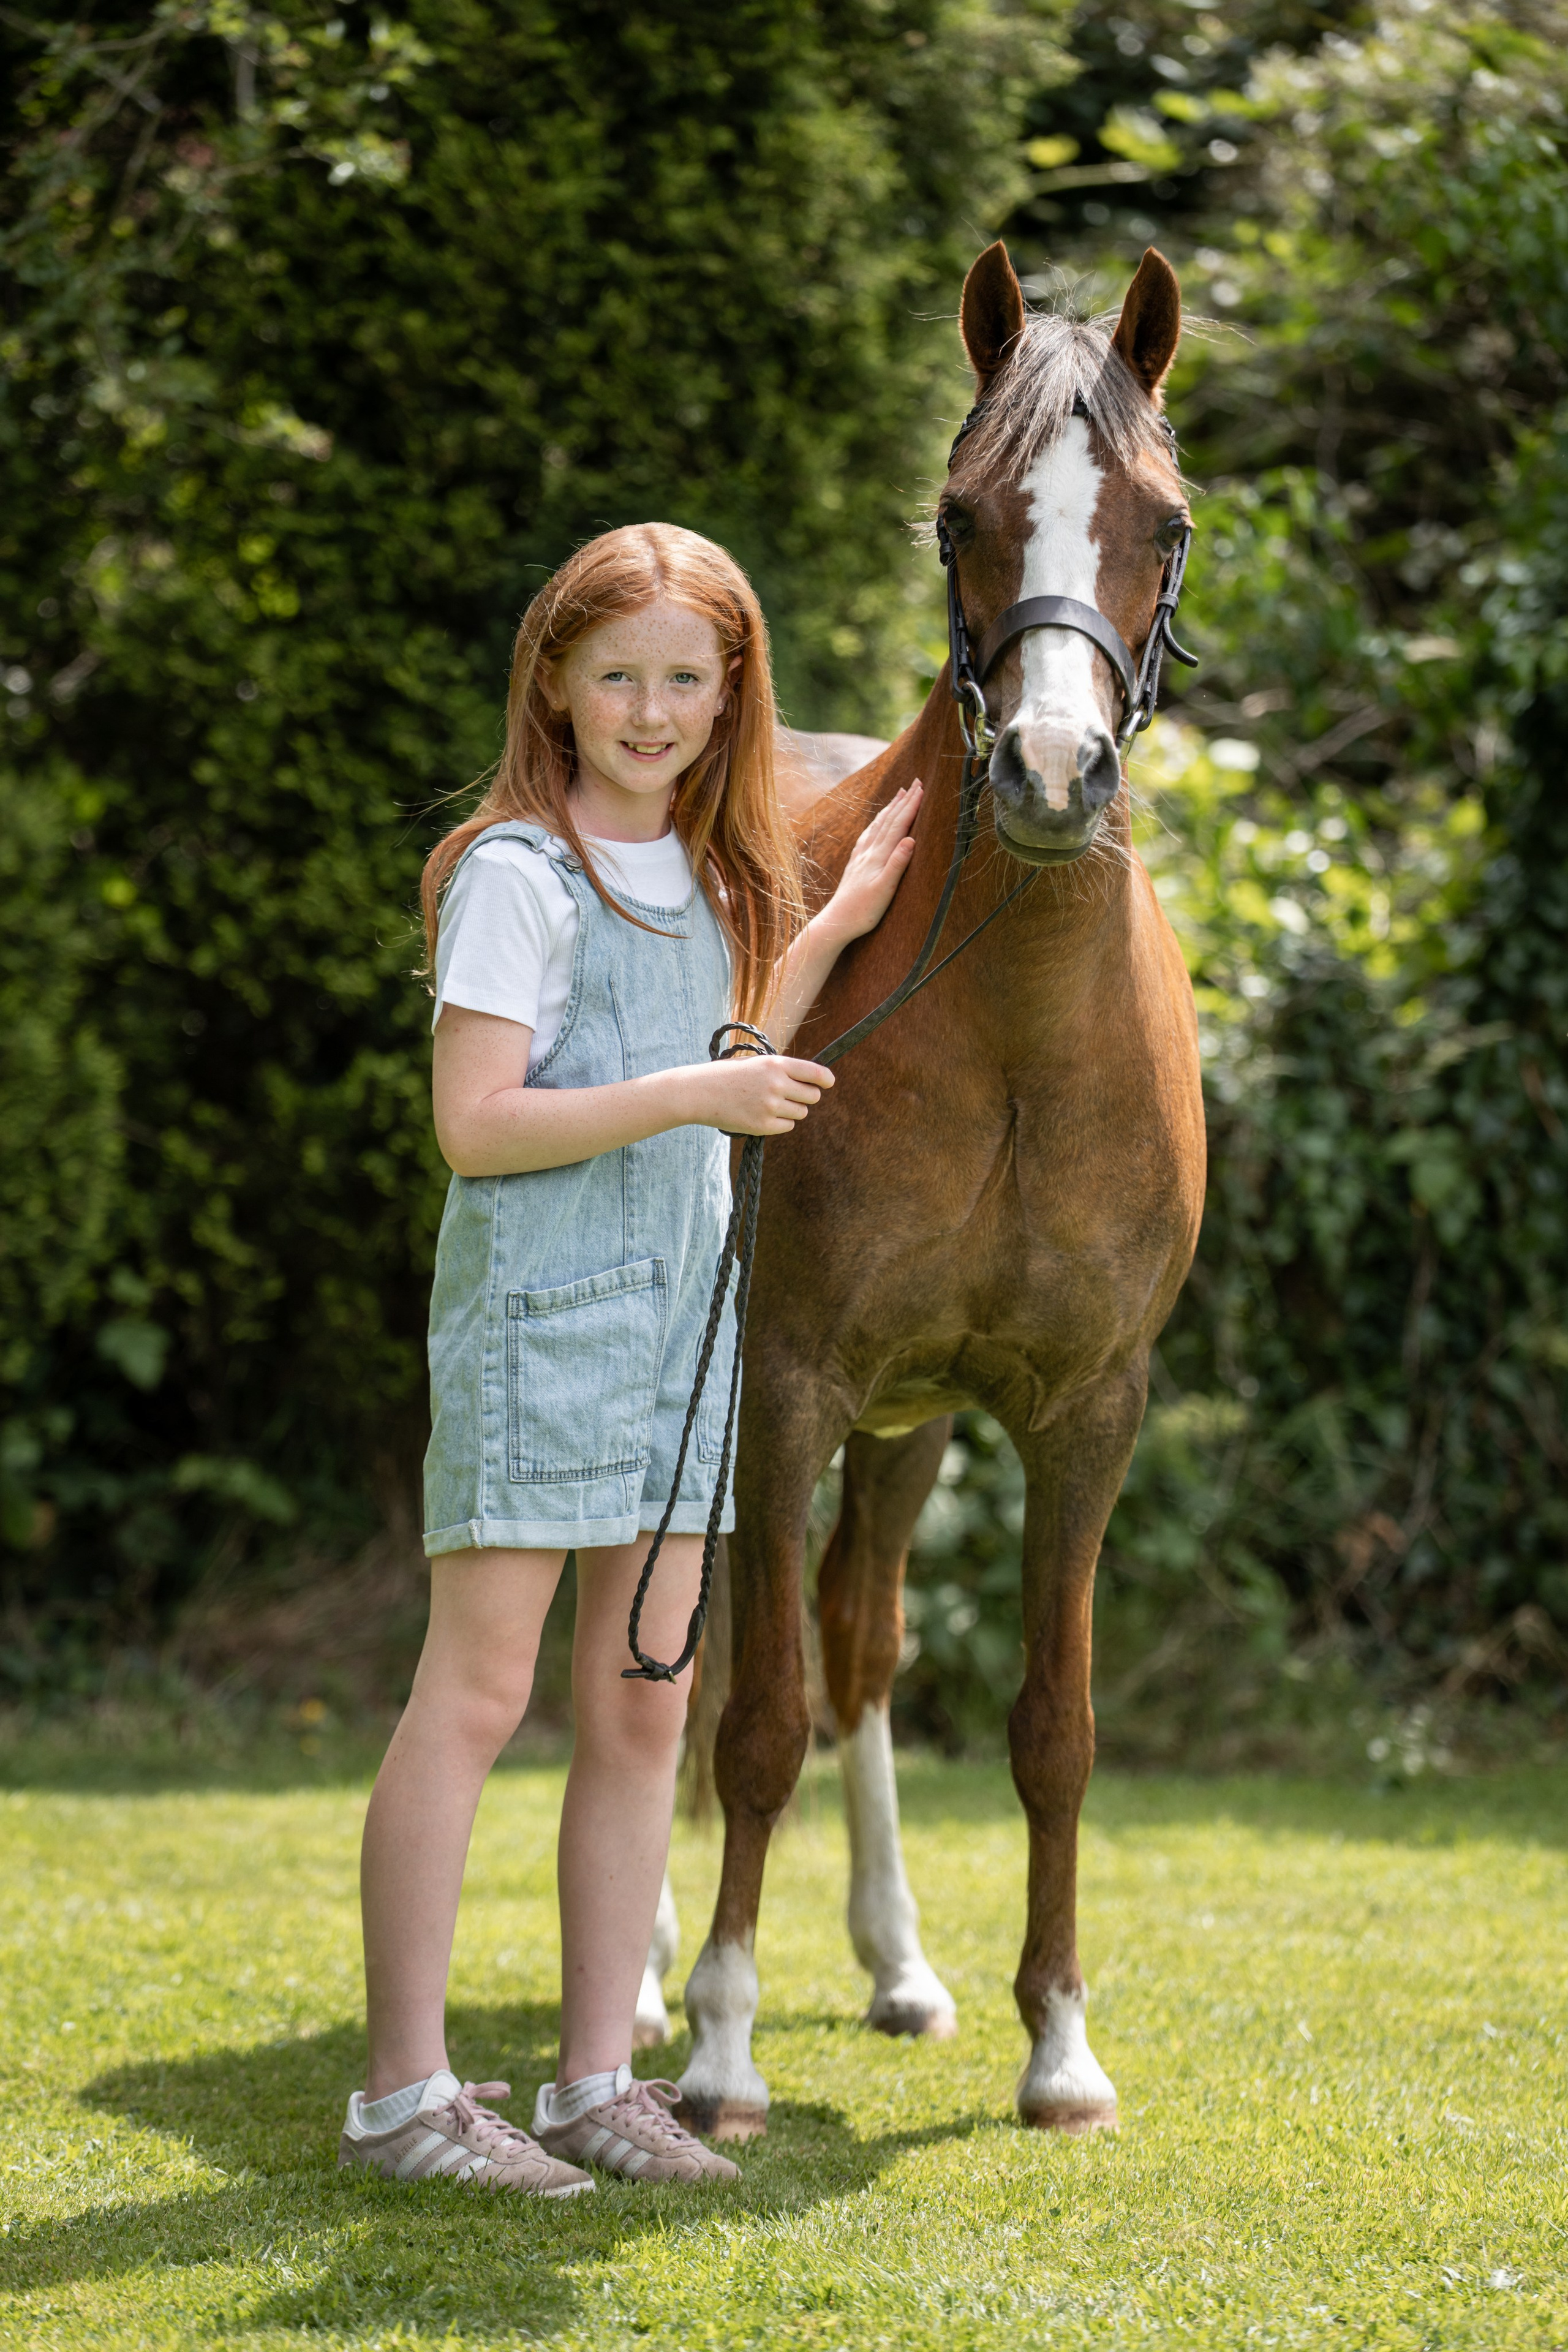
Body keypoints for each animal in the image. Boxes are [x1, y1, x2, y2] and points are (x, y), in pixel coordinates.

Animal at [651, 241, 1207, 2133]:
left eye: (1165, 523)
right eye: (959, 515)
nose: (1050, 775)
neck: (1016, 1035)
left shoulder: (1079, 1411)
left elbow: (1054, 1724)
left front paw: (1062, 2043)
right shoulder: (786, 1385)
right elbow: (751, 1719)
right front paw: (722, 2043)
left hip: (906, 1433)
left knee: (860, 1640)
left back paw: (895, 1965)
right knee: (671, 1654)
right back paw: (654, 1967)